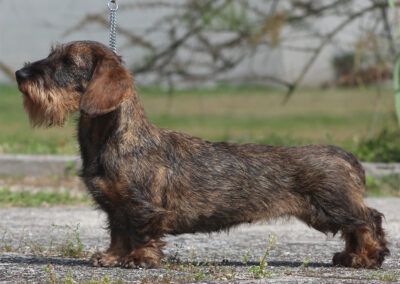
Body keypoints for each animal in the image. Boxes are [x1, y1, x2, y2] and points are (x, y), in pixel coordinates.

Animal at [14, 40, 388, 268]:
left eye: (67, 62)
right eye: (53, 55)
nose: (19, 74)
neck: (114, 139)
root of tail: (342, 154)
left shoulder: (141, 206)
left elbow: (140, 232)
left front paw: (138, 258)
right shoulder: (115, 207)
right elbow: (118, 233)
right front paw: (111, 257)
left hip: (331, 207)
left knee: (369, 219)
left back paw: (368, 257)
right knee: (358, 226)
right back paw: (352, 256)